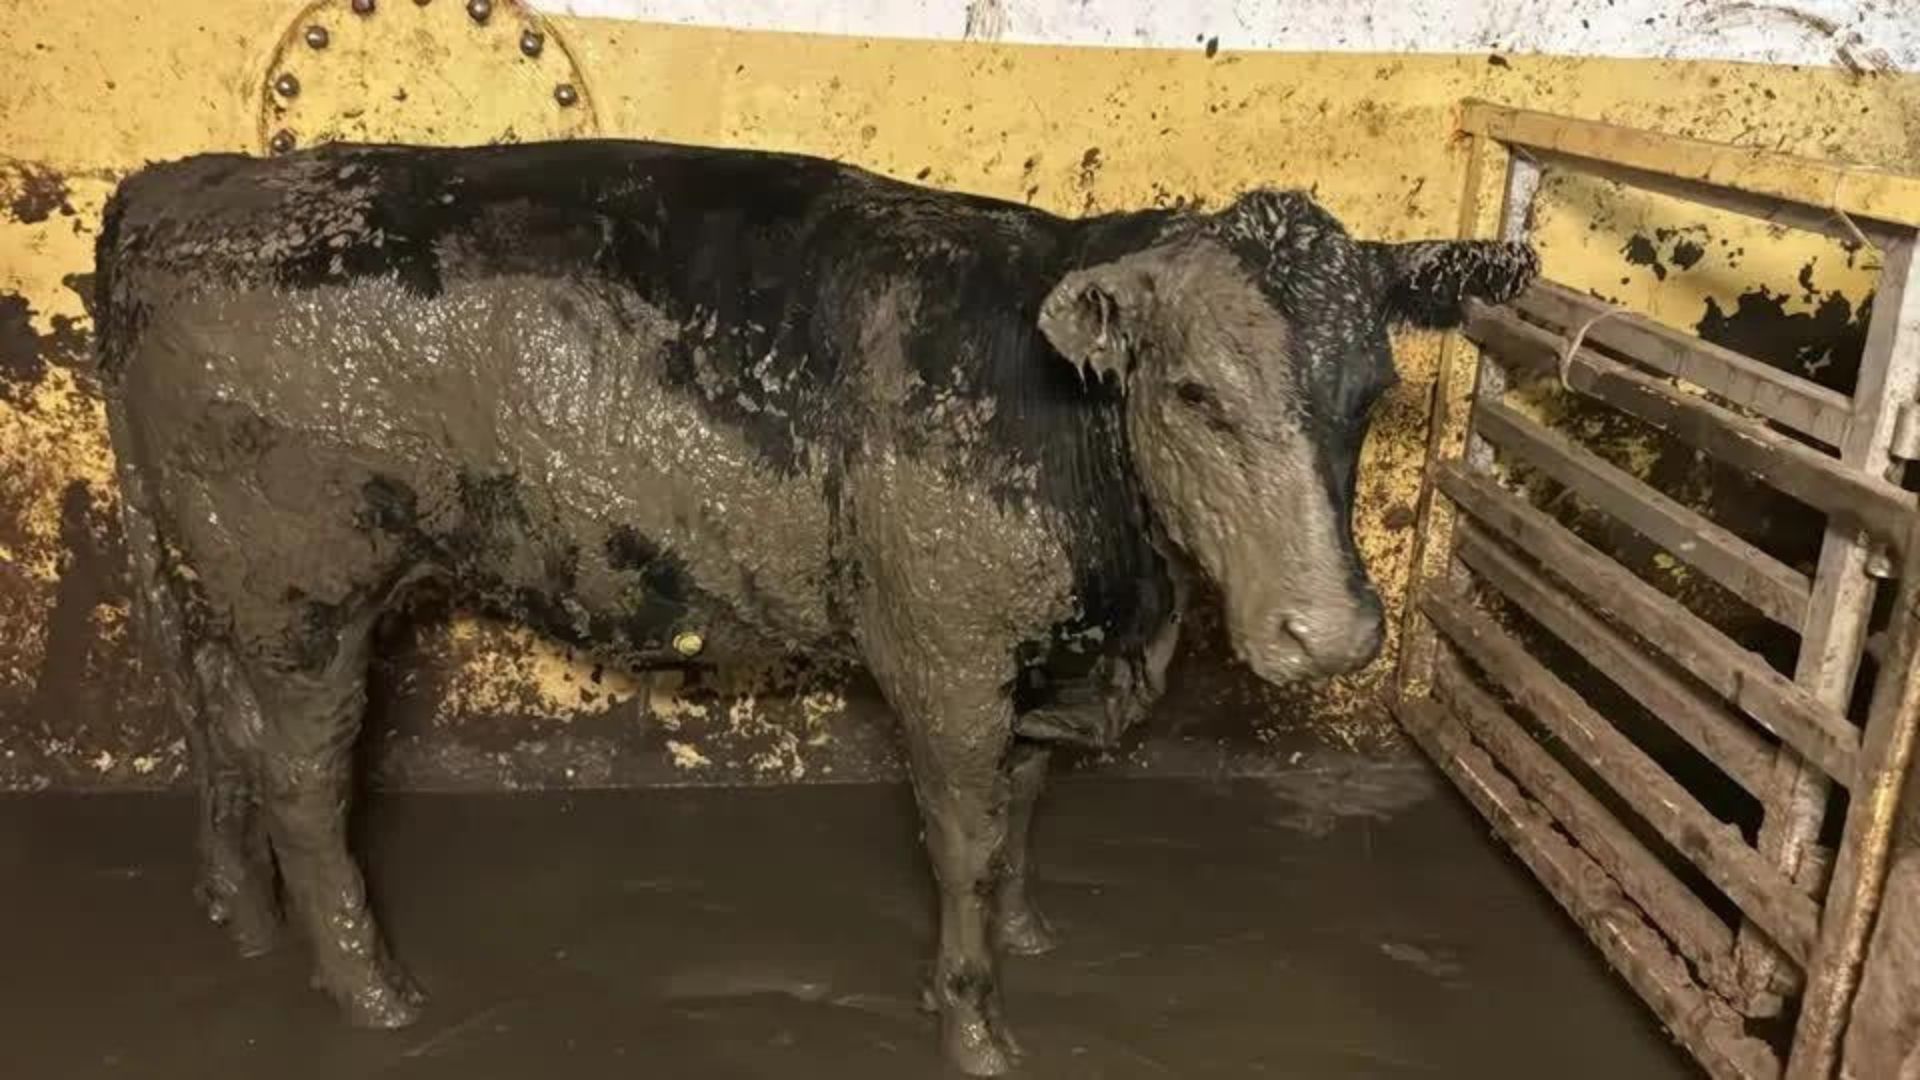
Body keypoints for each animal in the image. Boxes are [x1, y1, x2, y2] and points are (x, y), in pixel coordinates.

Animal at [93, 138, 1543, 1068]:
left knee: (216, 725)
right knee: (304, 776)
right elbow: (967, 836)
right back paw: (371, 988)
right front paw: (975, 1022)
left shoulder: (1033, 658)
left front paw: (1030, 930)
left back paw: (243, 914)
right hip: (302, 587)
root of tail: (182, 184)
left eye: (1374, 395)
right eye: (1194, 392)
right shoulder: (949, 659)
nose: (1333, 633)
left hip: (213, 578)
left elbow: (1027, 806)